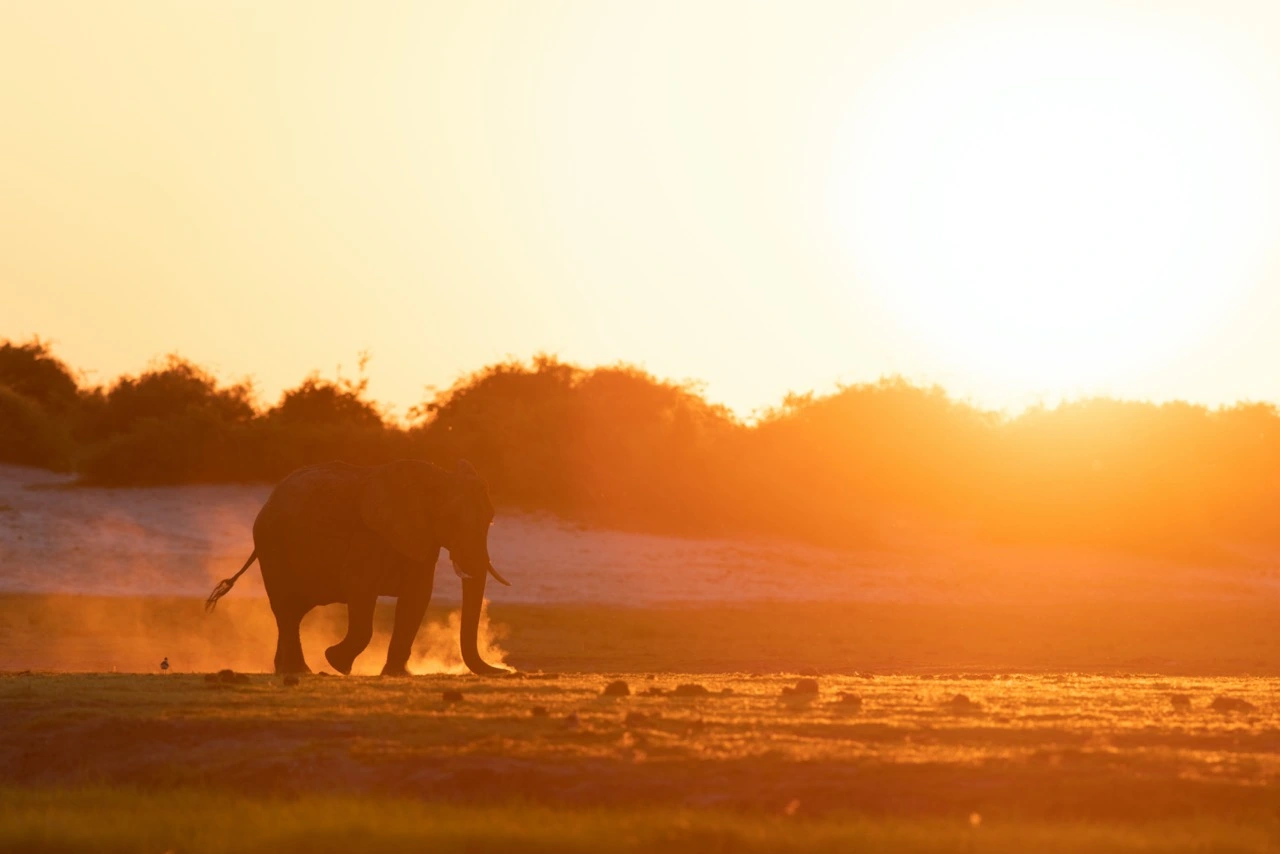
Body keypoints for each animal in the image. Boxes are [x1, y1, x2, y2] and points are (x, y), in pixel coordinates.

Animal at [202, 458, 506, 676]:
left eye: (491, 519)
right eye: (452, 519)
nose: (505, 670)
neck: (436, 476)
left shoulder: (421, 537)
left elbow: (417, 596)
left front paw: (397, 674)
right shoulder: (367, 535)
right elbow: (360, 589)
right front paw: (336, 662)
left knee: (294, 611)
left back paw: (286, 670)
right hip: (271, 543)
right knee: (286, 608)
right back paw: (302, 670)